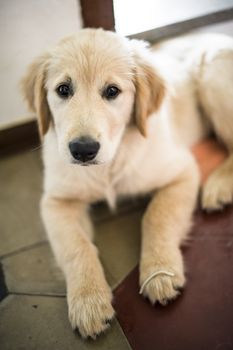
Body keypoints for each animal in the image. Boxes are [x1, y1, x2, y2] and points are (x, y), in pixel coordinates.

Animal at [21, 28, 233, 338]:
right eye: (63, 89)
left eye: (112, 91)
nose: (83, 150)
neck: (109, 166)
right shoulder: (56, 201)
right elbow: (76, 246)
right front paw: (88, 300)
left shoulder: (182, 171)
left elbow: (156, 217)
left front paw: (159, 271)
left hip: (211, 74)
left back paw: (219, 185)